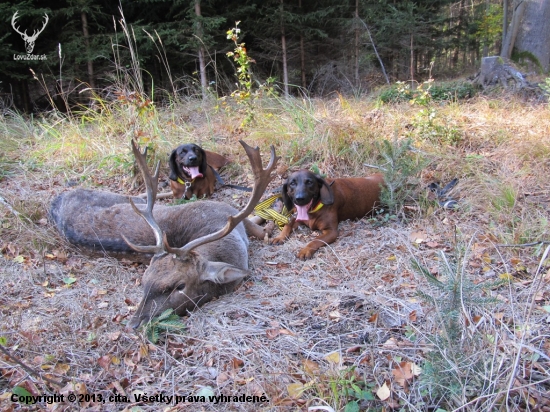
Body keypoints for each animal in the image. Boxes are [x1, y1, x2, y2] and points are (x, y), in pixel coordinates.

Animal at [50, 140, 280, 330]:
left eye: (179, 286)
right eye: (144, 282)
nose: (132, 325)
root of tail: (56, 201)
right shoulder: (230, 211)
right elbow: (262, 226)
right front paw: (271, 220)